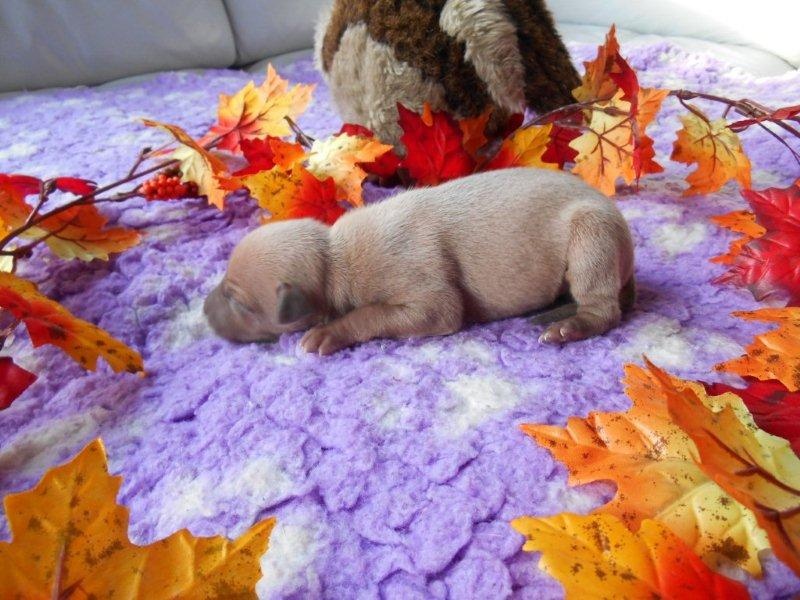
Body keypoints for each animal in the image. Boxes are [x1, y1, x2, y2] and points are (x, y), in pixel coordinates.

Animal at [204, 168, 635, 355]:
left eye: (239, 302)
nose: (204, 313)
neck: (335, 256)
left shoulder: (429, 300)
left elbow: (372, 313)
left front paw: (328, 333)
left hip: (591, 236)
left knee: (603, 309)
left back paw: (567, 327)